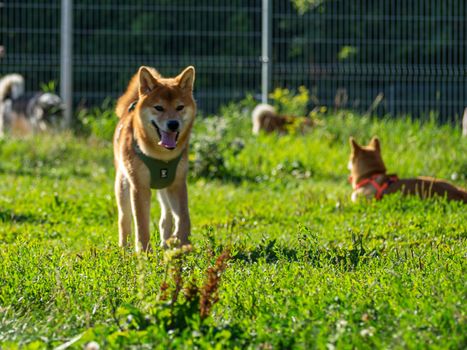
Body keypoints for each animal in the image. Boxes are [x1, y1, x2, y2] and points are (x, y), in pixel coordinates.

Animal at [114, 66, 197, 252]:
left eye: (180, 107)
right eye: (159, 107)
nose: (173, 124)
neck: (162, 156)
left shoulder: (178, 183)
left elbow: (184, 217)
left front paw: (183, 244)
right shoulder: (139, 187)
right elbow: (141, 224)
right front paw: (144, 252)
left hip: (164, 188)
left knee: (166, 217)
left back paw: (167, 242)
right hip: (123, 185)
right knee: (124, 219)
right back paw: (124, 247)